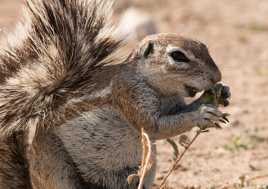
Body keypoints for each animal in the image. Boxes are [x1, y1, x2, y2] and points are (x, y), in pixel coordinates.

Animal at [0, 0, 230, 189]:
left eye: (204, 46)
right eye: (178, 56)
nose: (216, 76)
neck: (160, 90)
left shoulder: (173, 104)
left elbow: (179, 111)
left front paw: (219, 93)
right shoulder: (128, 94)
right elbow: (154, 126)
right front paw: (201, 114)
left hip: (145, 166)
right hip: (56, 167)